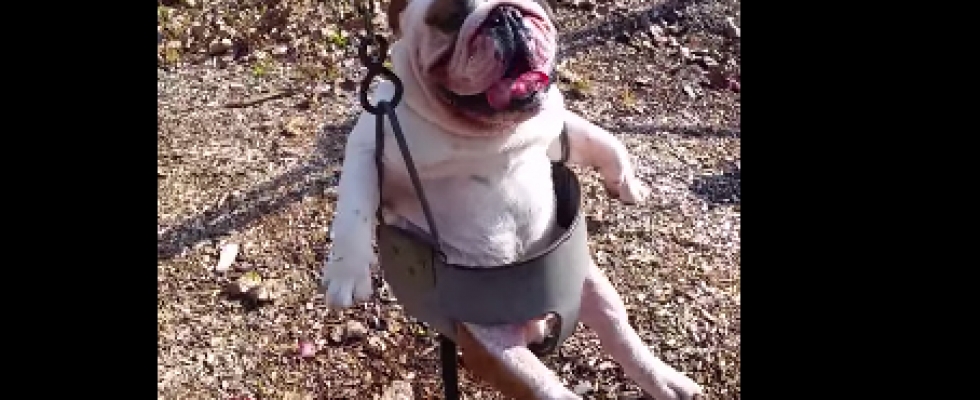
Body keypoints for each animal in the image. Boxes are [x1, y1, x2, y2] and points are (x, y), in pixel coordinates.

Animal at [320, 0, 703, 398]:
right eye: (450, 17)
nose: (505, 15)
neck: (489, 133)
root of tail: (533, 325)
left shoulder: (553, 126)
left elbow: (602, 138)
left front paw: (627, 181)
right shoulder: (371, 144)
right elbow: (354, 206)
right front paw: (347, 270)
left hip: (589, 284)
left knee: (619, 331)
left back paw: (666, 380)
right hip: (494, 347)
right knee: (546, 387)